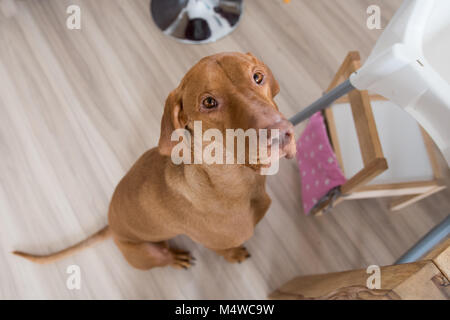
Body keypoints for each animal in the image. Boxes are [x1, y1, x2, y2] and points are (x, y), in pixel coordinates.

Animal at [13, 52, 296, 270]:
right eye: (208, 102)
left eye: (257, 77)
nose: (281, 133)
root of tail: (111, 226)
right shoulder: (215, 243)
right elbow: (225, 251)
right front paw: (235, 254)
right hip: (148, 253)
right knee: (164, 257)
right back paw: (176, 258)